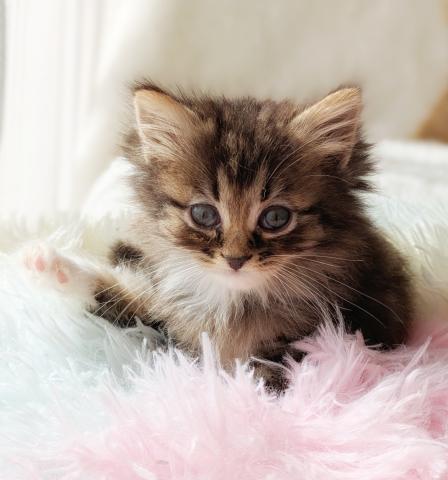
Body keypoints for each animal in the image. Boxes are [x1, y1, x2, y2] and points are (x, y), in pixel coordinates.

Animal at [22, 83, 413, 389]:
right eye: (204, 214)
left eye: (276, 218)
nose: (235, 259)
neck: (234, 303)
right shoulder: (170, 318)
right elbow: (122, 300)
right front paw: (48, 264)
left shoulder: (342, 329)